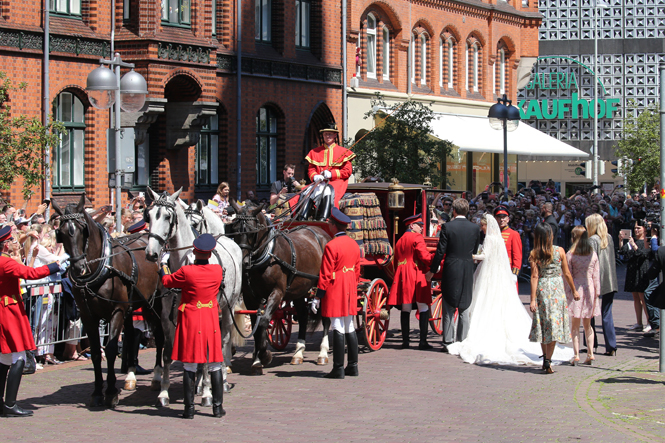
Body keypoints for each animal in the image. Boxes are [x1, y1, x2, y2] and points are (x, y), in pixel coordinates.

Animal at [52, 196, 174, 408]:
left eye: (82, 229)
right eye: (62, 233)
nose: (77, 267)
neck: (100, 268)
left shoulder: (116, 310)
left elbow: (109, 349)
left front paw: (110, 392)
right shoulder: (88, 315)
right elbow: (95, 352)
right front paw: (96, 392)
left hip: (155, 303)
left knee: (159, 335)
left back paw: (156, 376)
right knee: (133, 334)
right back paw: (132, 374)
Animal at [144, 188, 243, 406]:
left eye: (167, 216)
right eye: (149, 216)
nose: (151, 253)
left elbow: (207, 351)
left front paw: (207, 393)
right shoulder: (166, 317)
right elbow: (167, 353)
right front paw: (164, 393)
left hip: (227, 307)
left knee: (224, 340)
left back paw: (222, 379)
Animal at [227, 201, 330, 374]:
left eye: (252, 231)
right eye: (234, 228)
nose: (242, 262)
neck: (268, 255)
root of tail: (322, 233)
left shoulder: (277, 293)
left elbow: (263, 322)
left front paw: (264, 355)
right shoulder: (250, 297)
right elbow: (256, 325)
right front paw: (257, 360)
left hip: (322, 287)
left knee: (325, 317)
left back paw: (322, 353)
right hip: (299, 290)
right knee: (303, 315)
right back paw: (298, 353)